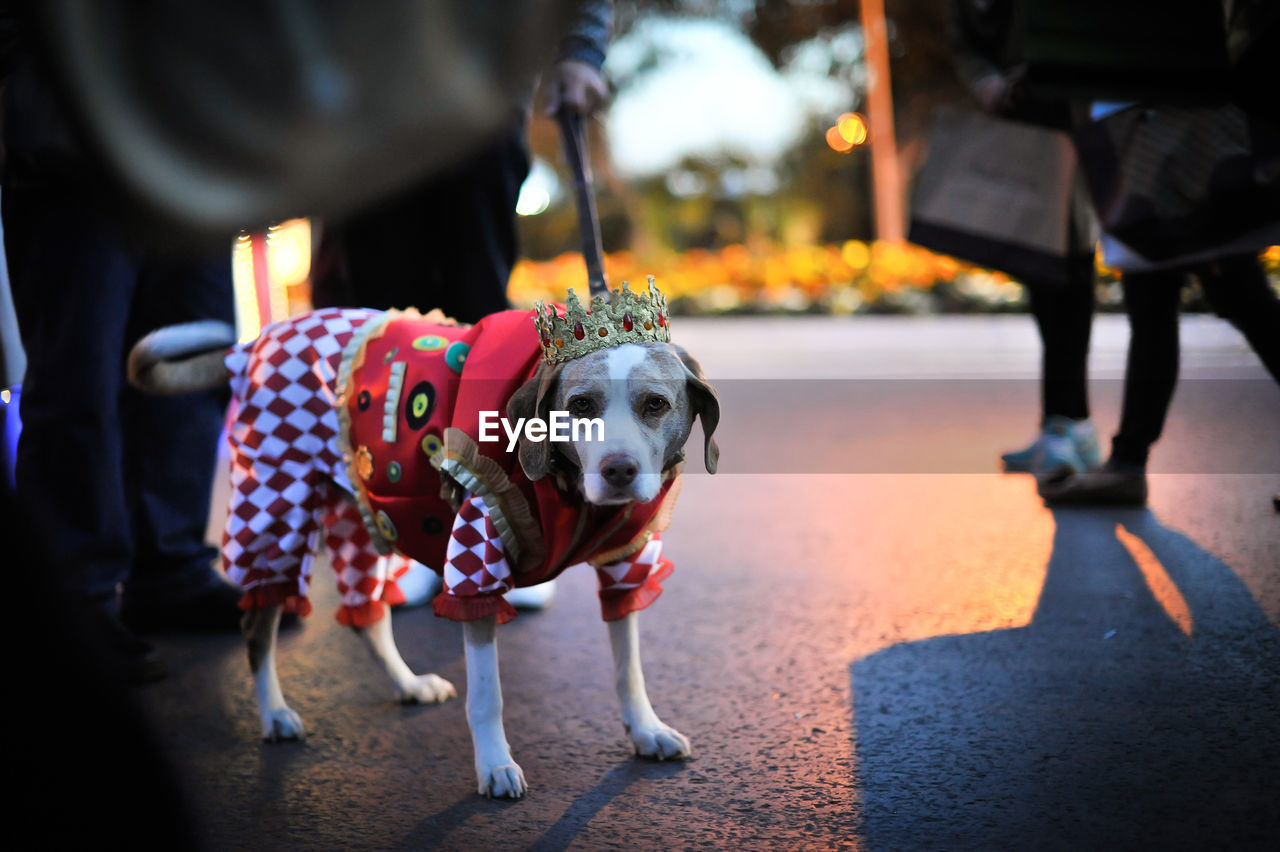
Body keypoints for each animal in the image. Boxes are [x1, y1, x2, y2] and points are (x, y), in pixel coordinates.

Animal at [135, 280, 727, 798]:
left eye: (655, 404)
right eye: (580, 405)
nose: (619, 470)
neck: (569, 490)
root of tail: (257, 342)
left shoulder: (625, 565)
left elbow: (629, 668)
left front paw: (645, 729)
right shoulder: (475, 567)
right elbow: (487, 695)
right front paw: (495, 765)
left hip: (366, 517)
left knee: (367, 617)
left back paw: (407, 684)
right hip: (275, 508)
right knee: (259, 626)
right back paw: (275, 713)